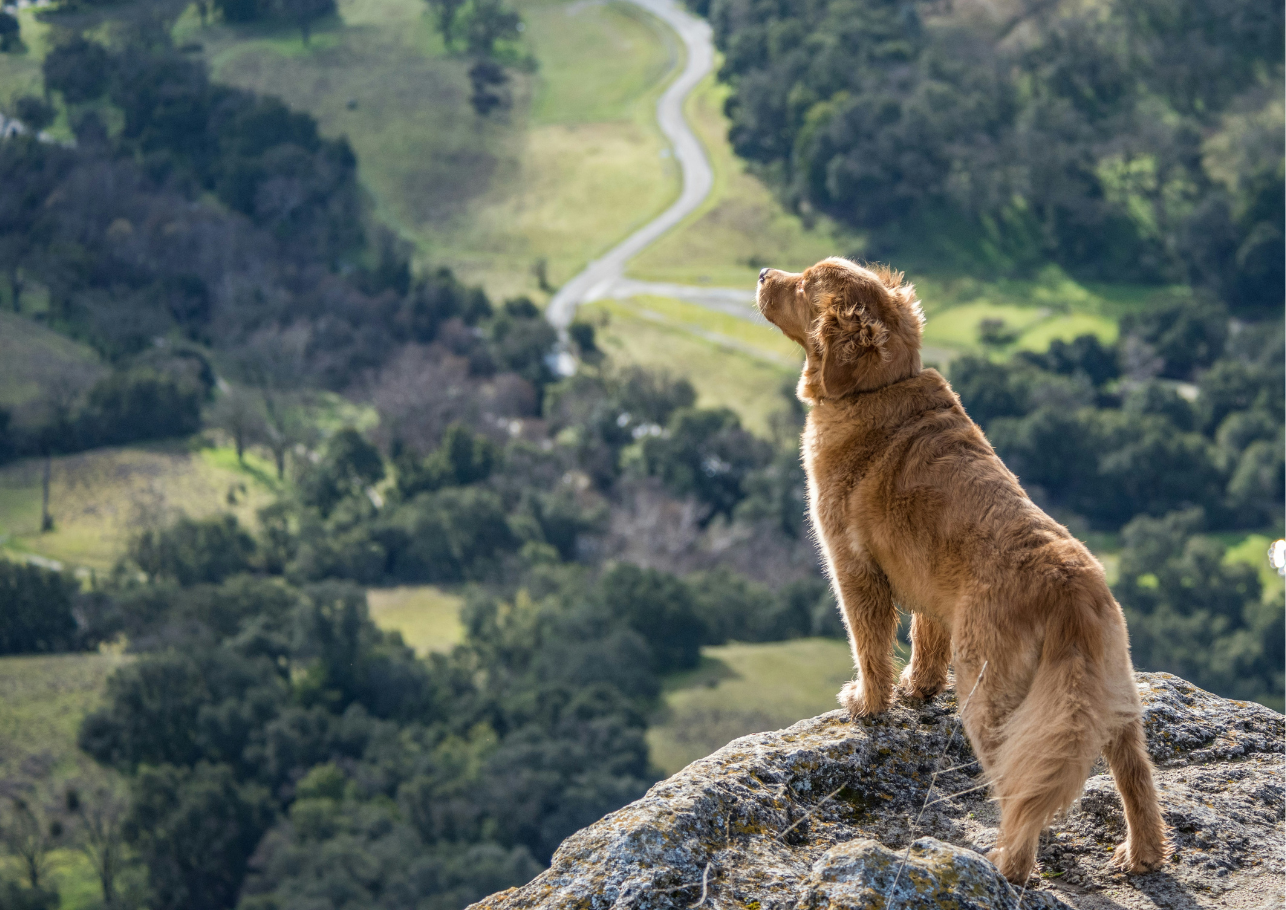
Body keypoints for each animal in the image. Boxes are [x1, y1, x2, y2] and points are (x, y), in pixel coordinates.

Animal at [751, 259, 1167, 884]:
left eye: (803, 284)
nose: (762, 274)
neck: (879, 387)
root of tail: (1068, 586)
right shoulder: (927, 583)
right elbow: (926, 640)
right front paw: (918, 689)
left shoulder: (854, 568)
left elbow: (869, 645)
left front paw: (868, 703)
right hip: (1114, 693)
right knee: (1135, 777)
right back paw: (1141, 855)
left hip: (989, 693)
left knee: (1023, 790)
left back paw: (1007, 865)